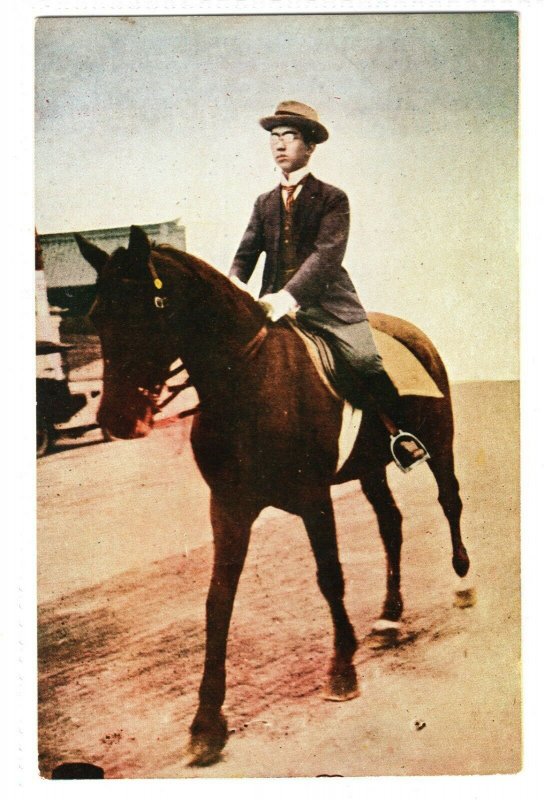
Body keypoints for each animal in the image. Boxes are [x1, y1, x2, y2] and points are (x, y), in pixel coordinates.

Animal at [75, 225, 469, 767]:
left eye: (148, 308)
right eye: (97, 315)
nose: (115, 419)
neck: (247, 381)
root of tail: (413, 331)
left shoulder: (313, 498)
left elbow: (330, 578)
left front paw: (341, 671)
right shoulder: (229, 508)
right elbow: (217, 600)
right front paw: (207, 722)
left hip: (440, 444)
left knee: (450, 501)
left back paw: (463, 580)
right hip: (369, 468)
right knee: (391, 524)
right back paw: (390, 615)